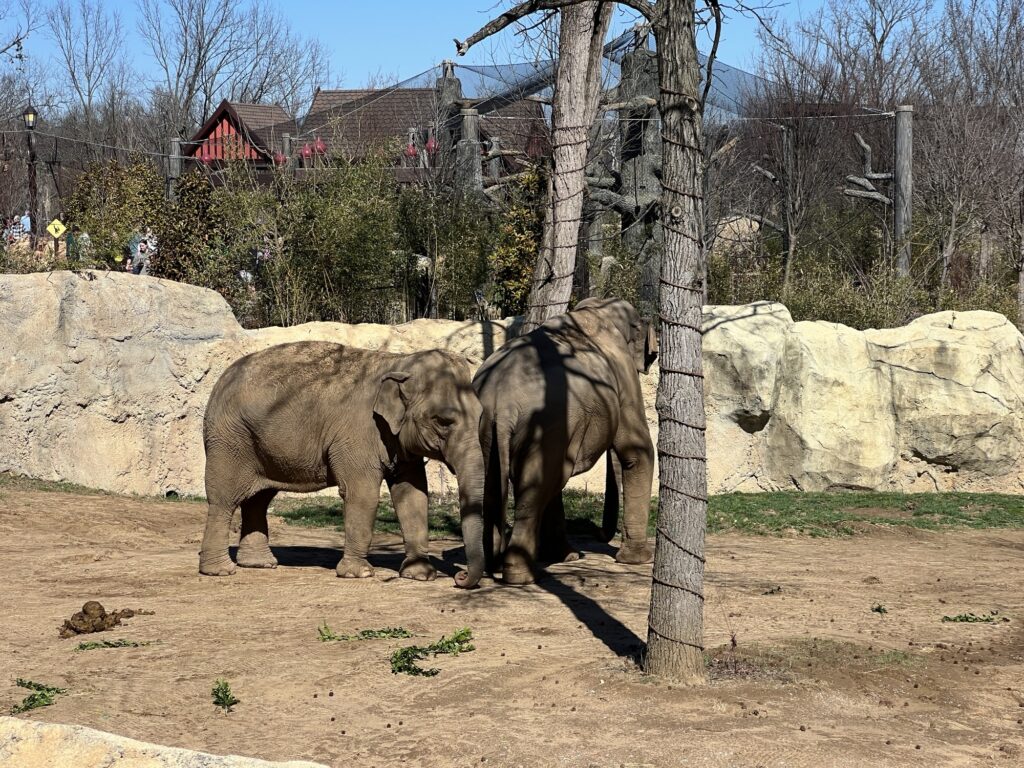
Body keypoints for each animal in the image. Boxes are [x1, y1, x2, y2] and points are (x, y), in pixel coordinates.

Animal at [199, 341, 486, 588]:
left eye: (481, 414)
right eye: (443, 421)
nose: (459, 577)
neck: (398, 361)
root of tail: (220, 380)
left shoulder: (399, 444)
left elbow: (413, 494)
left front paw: (420, 575)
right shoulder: (357, 433)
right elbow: (363, 495)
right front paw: (359, 574)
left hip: (260, 444)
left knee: (259, 500)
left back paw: (260, 564)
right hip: (228, 439)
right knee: (224, 499)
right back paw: (220, 571)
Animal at [473, 297, 658, 584]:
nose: (599, 535)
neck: (599, 307)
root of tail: (502, 404)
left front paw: (565, 557)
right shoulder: (623, 374)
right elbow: (637, 451)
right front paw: (638, 560)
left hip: (488, 430)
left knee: (497, 487)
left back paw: (493, 564)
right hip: (546, 423)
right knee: (536, 489)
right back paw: (522, 576)